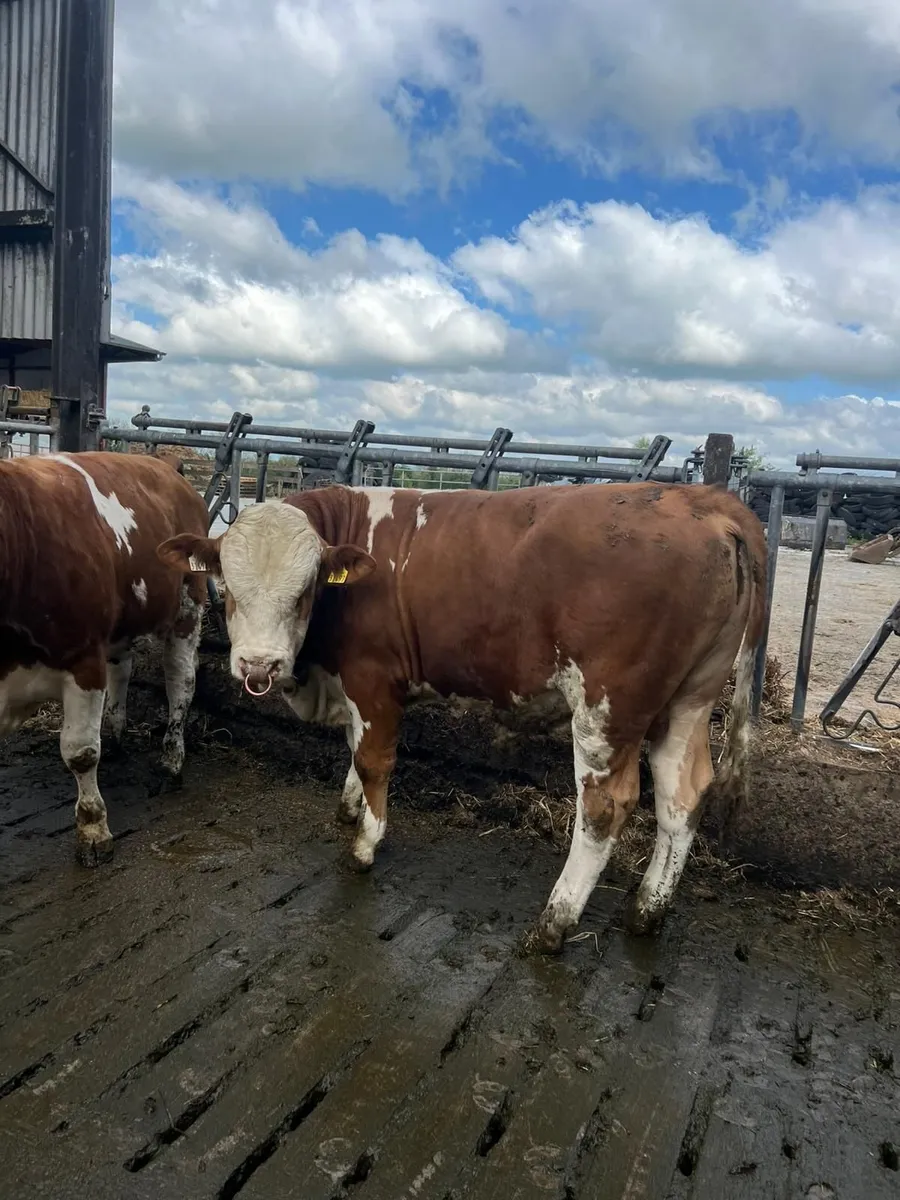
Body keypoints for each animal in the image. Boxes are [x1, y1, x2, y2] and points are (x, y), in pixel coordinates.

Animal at [1, 451, 209, 865]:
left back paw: (171, 762)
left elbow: (80, 751)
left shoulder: (83, 659)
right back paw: (114, 736)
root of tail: (168, 466)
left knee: (180, 681)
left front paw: (94, 829)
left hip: (188, 604)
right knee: (122, 672)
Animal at [159, 482, 766, 952]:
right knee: (682, 797)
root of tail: (703, 500)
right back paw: (646, 911)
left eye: (306, 591)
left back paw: (553, 923)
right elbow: (355, 749)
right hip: (688, 702)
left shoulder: (375, 682)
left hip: (607, 709)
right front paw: (349, 808)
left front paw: (365, 843)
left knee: (605, 807)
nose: (259, 665)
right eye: (226, 587)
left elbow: (375, 760)